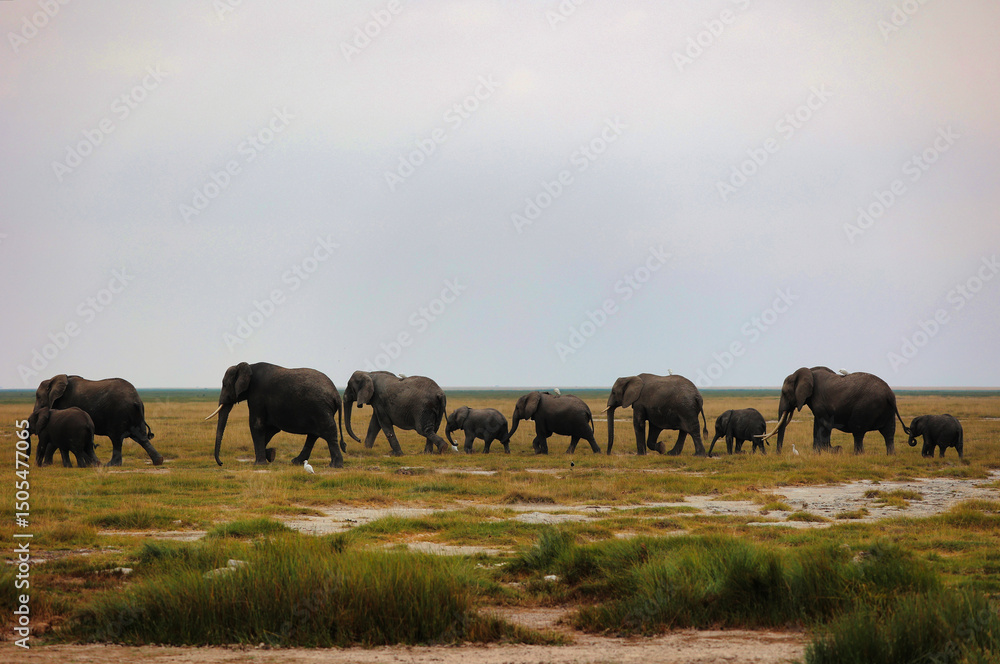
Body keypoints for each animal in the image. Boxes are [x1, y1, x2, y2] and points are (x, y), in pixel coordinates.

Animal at [32, 374, 162, 467]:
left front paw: (46, 465)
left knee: (116, 439)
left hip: (118, 414)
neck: (53, 380)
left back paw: (111, 465)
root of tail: (136, 400)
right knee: (141, 437)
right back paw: (158, 461)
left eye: (38, 397)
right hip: (135, 415)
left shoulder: (64, 404)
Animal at [207, 362, 345, 467]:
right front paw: (271, 454)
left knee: (328, 433)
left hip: (320, 408)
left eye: (225, 385)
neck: (249, 366)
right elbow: (271, 429)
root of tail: (337, 395)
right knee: (313, 435)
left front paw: (259, 464)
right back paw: (296, 462)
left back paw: (334, 466)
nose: (221, 463)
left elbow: (256, 425)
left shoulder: (257, 397)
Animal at [762, 367, 909, 454]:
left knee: (858, 431)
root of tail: (890, 394)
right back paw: (890, 455)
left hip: (866, 406)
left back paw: (857, 455)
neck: (808, 371)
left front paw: (832, 450)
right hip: (888, 410)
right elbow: (817, 424)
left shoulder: (820, 400)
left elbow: (825, 425)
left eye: (784, 393)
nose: (779, 454)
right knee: (889, 433)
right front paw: (816, 453)